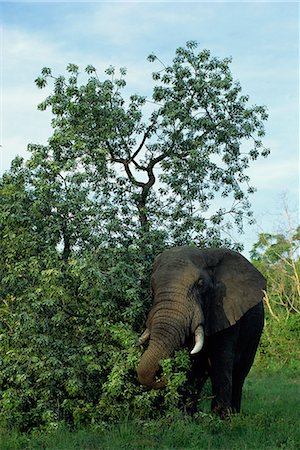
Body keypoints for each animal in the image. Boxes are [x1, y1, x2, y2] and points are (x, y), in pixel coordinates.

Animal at [136, 248, 264, 416]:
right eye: (152, 287)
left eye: (200, 284)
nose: (162, 378)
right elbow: (192, 364)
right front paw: (185, 417)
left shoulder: (226, 310)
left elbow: (221, 361)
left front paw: (220, 418)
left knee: (240, 373)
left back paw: (234, 415)